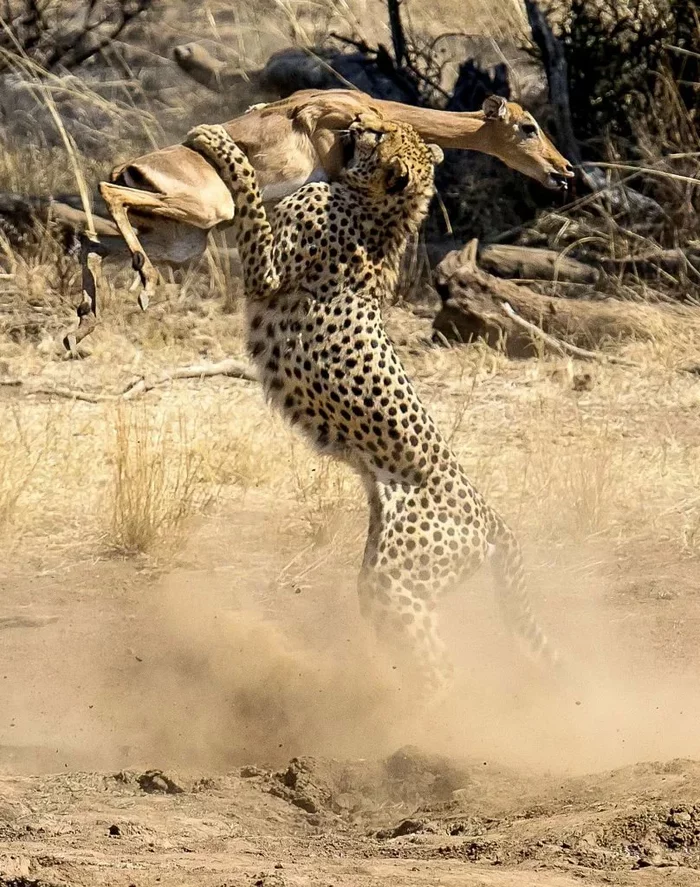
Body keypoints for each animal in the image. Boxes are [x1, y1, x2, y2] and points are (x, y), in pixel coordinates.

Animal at [187, 114, 564, 696]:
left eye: (381, 134)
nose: (359, 121)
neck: (376, 207)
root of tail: (491, 516)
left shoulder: (267, 269)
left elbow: (248, 190)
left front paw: (218, 141)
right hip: (383, 570)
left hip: (396, 578)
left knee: (442, 669)